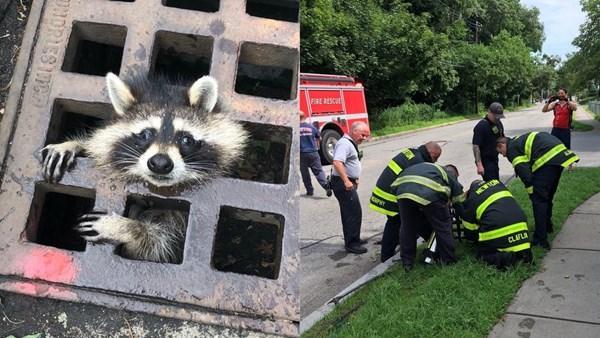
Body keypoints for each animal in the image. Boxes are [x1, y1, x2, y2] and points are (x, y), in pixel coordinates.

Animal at [41, 72, 248, 264]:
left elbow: (157, 245)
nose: (160, 163)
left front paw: (127, 228)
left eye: (186, 139)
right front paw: (74, 144)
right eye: (145, 134)